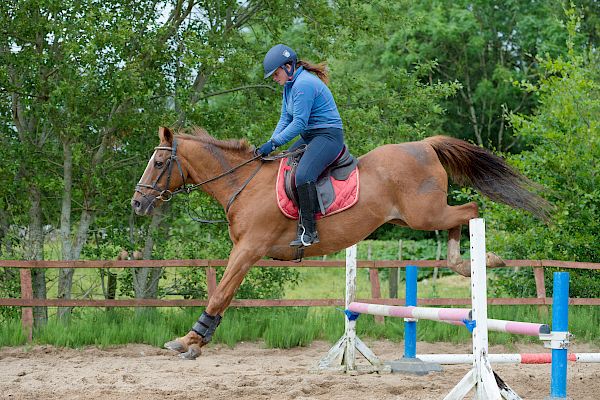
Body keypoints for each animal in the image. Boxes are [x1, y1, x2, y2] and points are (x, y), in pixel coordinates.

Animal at [131, 126, 548, 360]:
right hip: (411, 217)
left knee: (471, 209)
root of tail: (425, 145)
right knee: (462, 217)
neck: (242, 184)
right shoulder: (246, 251)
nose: (136, 203)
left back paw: (483, 260)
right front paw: (195, 341)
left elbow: (220, 294)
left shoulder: (249, 250)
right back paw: (465, 264)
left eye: (158, 164)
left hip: (425, 214)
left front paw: (190, 341)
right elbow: (223, 293)